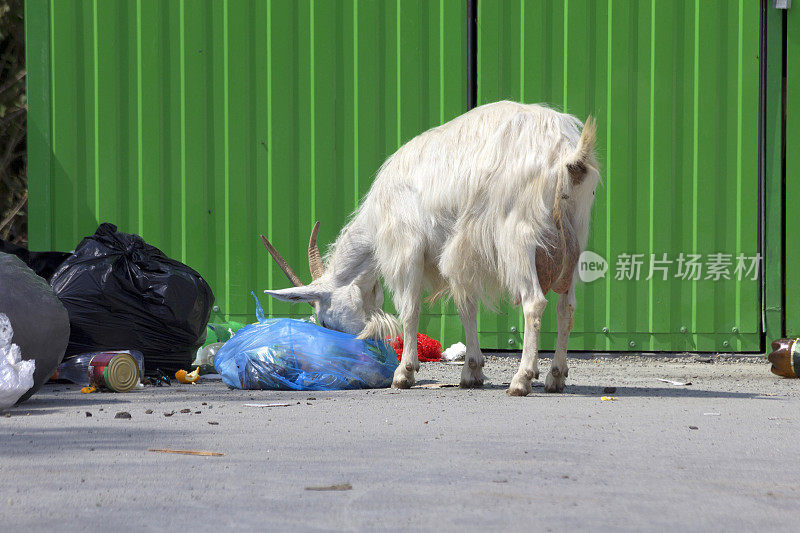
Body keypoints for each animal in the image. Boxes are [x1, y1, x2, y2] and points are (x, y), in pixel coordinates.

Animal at [262, 100, 600, 392]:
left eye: (323, 318)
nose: (344, 353)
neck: (377, 215)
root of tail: (567, 152)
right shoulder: (457, 253)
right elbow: (467, 306)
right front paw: (472, 371)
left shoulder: (406, 247)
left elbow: (410, 309)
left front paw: (404, 373)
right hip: (575, 235)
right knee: (566, 306)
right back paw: (556, 377)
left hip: (517, 236)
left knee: (534, 302)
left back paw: (522, 379)